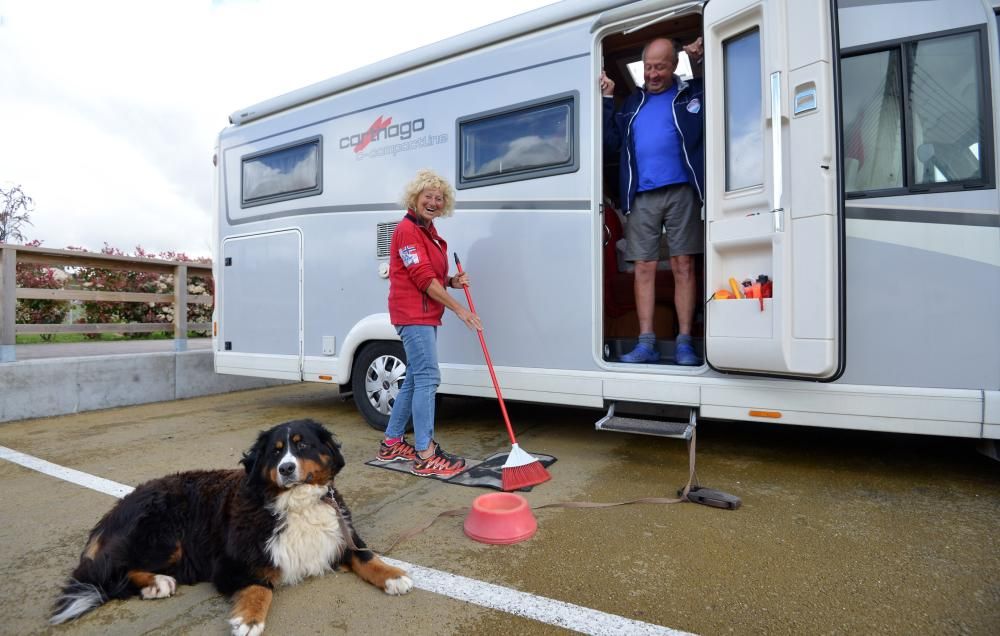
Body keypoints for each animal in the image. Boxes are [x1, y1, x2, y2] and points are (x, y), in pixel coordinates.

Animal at [49, 420, 410, 632]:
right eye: (276, 452)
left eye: (303, 444)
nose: (287, 468)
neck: (296, 504)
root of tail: (115, 511)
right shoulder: (231, 563)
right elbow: (261, 583)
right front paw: (248, 619)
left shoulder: (340, 532)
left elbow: (365, 555)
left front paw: (393, 576)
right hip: (164, 535)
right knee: (111, 573)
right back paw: (157, 583)